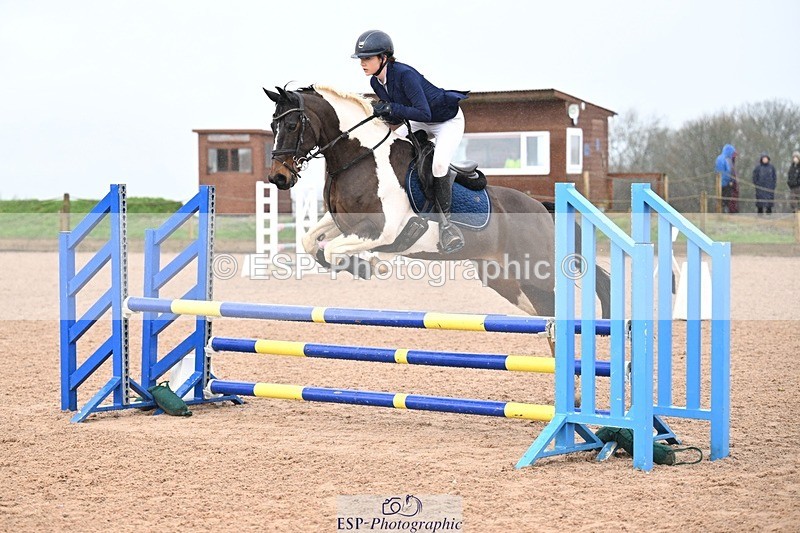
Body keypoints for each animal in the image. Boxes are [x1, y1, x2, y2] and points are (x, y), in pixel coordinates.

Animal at [264, 84, 610, 318]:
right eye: (272, 125)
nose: (278, 178)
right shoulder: (341, 222)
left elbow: (333, 249)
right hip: (503, 277)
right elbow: (311, 242)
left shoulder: (381, 230)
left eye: (292, 125)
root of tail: (541, 208)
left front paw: (371, 266)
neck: (358, 157)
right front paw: (364, 266)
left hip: (537, 272)